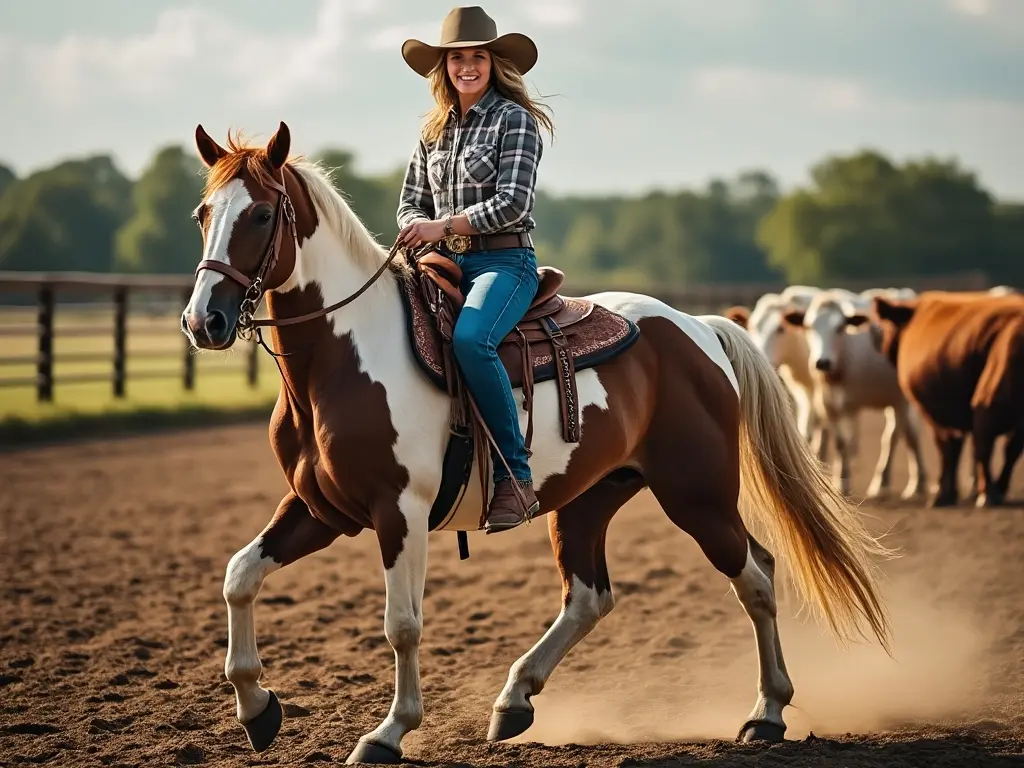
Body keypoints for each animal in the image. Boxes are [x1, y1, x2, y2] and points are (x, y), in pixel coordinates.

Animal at [180, 123, 892, 765]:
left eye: (262, 213)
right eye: (204, 213)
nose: (202, 320)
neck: (347, 357)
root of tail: (698, 329)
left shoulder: (398, 510)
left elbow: (402, 624)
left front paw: (387, 734)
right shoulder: (320, 509)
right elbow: (239, 575)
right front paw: (257, 709)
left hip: (698, 495)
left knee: (757, 578)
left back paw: (765, 714)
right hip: (587, 498)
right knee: (591, 596)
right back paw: (515, 699)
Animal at [782, 286, 929, 499]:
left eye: (839, 328)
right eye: (809, 327)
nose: (822, 362)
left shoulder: (897, 401)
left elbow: (891, 439)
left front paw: (881, 483)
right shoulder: (829, 406)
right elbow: (841, 442)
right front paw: (842, 481)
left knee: (906, 435)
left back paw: (908, 483)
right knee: (911, 434)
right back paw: (918, 483)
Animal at [868, 290, 1024, 507]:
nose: (877, 344)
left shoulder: (935, 409)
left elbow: (949, 448)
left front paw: (943, 494)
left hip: (991, 395)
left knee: (984, 443)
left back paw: (988, 495)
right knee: (1001, 447)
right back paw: (993, 491)